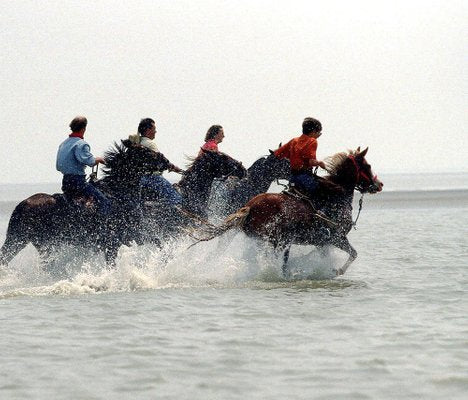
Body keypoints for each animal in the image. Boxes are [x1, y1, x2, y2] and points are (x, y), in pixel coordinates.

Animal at [0, 139, 172, 268]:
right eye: (145, 151)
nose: (165, 160)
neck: (118, 193)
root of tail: (22, 205)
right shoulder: (114, 243)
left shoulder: (134, 235)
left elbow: (158, 243)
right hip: (36, 243)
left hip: (21, 240)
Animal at [192, 147, 382, 278]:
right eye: (368, 165)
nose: (379, 185)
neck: (336, 193)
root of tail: (250, 206)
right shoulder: (336, 237)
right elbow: (353, 253)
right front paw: (337, 270)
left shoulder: (321, 243)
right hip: (279, 240)